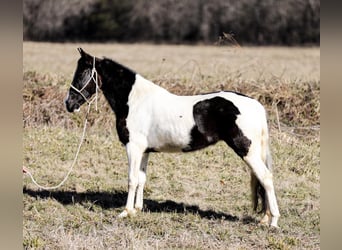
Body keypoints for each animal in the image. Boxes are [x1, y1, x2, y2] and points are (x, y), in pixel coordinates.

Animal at [65, 47, 280, 228]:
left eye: (82, 73)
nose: (69, 103)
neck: (135, 101)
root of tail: (256, 105)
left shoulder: (133, 147)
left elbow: (132, 179)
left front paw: (125, 212)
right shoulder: (144, 151)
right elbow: (142, 178)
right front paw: (137, 210)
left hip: (247, 151)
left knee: (266, 178)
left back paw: (273, 221)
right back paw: (265, 218)